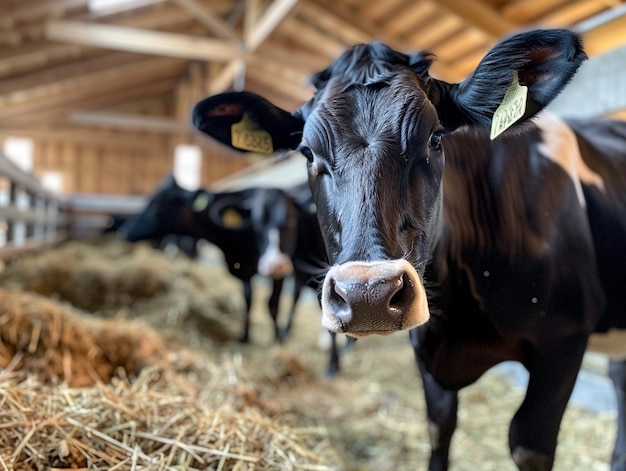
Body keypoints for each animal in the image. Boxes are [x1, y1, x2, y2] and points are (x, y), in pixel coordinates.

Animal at [190, 28, 624, 471]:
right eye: (308, 153)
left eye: (435, 139)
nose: (367, 296)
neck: (460, 317)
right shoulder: (428, 349)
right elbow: (438, 426)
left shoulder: (563, 341)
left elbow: (528, 444)